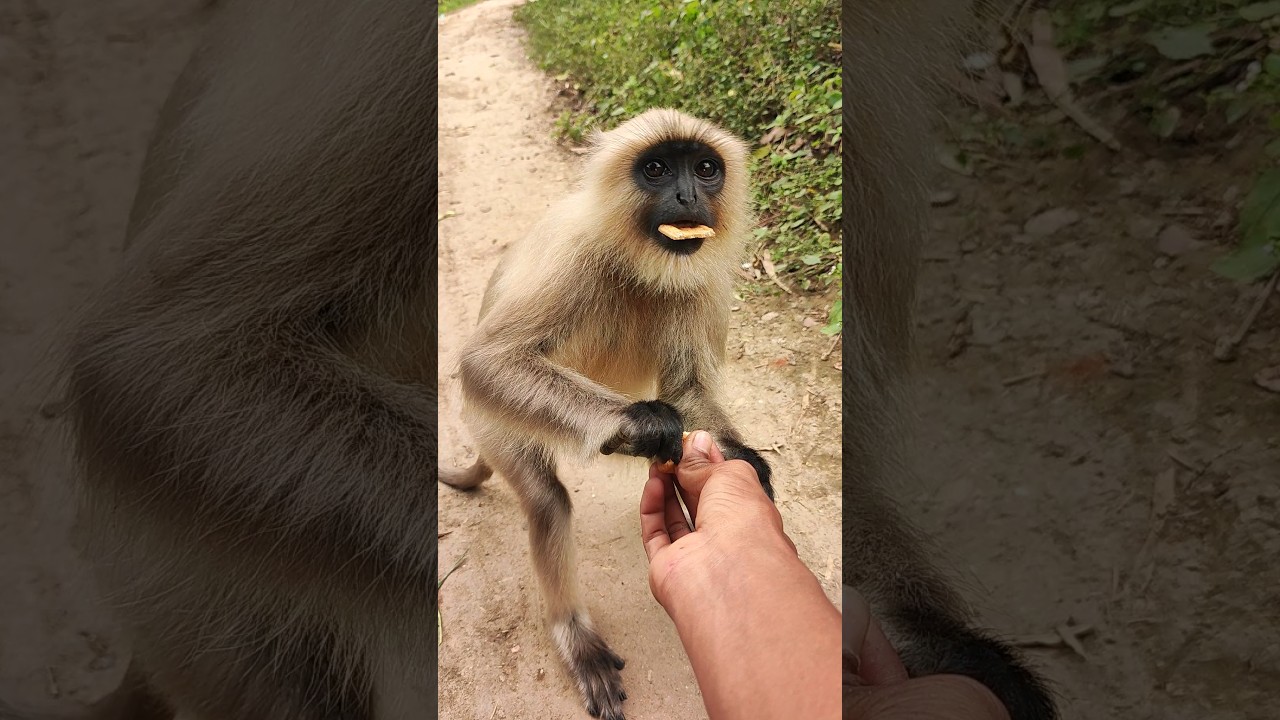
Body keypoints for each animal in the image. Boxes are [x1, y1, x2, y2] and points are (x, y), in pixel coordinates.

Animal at [438, 108, 775, 720]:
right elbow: (487, 362)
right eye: (658, 169)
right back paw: (576, 637)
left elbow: (687, 388)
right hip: (492, 423)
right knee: (547, 500)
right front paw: (640, 423)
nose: (688, 195)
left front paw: (741, 459)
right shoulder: (574, 254)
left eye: (705, 169)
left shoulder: (705, 278)